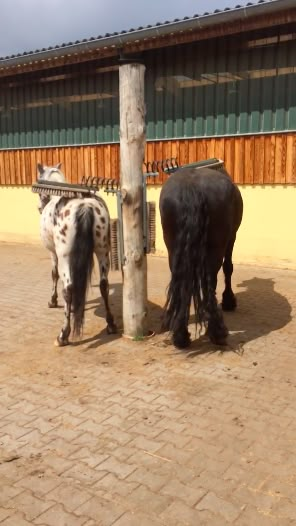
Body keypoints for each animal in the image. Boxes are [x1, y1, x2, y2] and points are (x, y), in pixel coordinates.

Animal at [35, 163, 117, 348]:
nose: (39, 207)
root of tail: (85, 205)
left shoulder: (54, 254)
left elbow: (54, 275)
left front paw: (53, 301)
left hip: (65, 257)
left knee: (69, 288)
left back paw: (63, 335)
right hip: (102, 251)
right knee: (104, 285)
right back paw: (110, 324)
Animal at [160, 167, 243, 350]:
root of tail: (192, 186)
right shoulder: (231, 237)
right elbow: (228, 268)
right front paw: (228, 300)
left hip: (174, 250)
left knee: (183, 284)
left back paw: (181, 336)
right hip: (216, 248)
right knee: (211, 280)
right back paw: (217, 333)